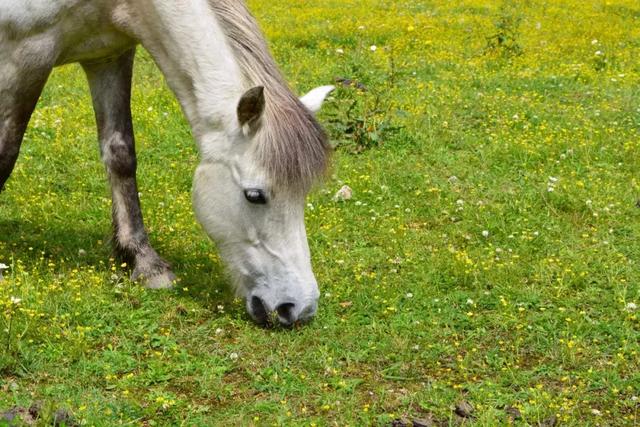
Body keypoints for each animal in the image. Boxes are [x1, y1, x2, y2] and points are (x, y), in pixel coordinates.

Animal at [0, 0, 338, 328]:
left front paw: (144, 262)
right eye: (254, 195)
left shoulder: (109, 54)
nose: (299, 307)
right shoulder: (25, 55)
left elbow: (120, 153)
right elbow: (6, 154)